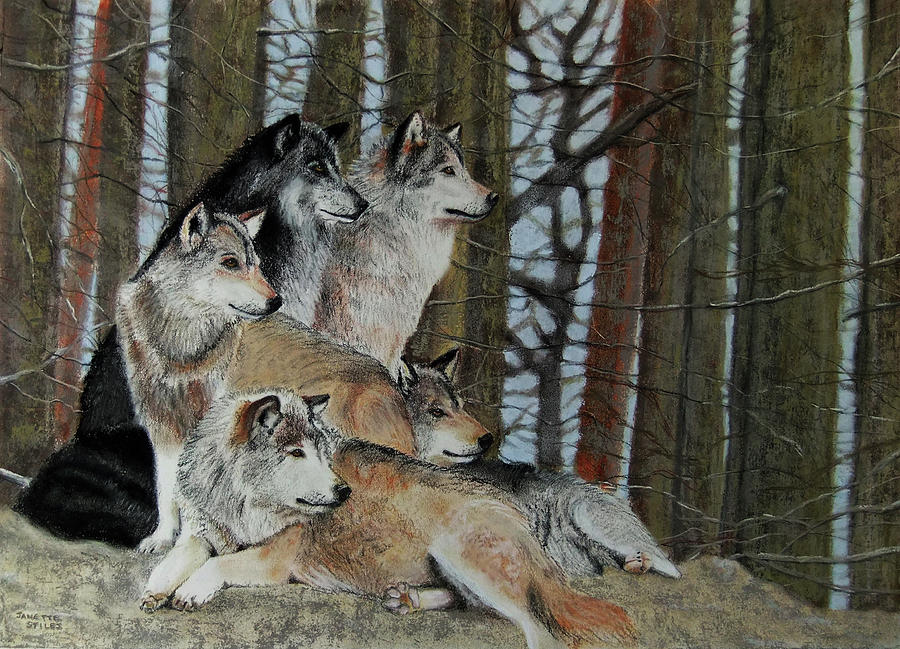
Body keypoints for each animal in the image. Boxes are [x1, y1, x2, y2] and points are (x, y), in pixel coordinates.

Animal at [141, 391, 637, 649]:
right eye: (296, 453)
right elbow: (183, 554)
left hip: (466, 558)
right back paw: (407, 600)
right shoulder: (205, 531)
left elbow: (217, 564)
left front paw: (189, 591)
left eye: (321, 453)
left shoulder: (275, 559)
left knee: (538, 629)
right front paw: (156, 589)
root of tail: (519, 517)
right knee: (464, 603)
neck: (240, 502)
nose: (343, 492)